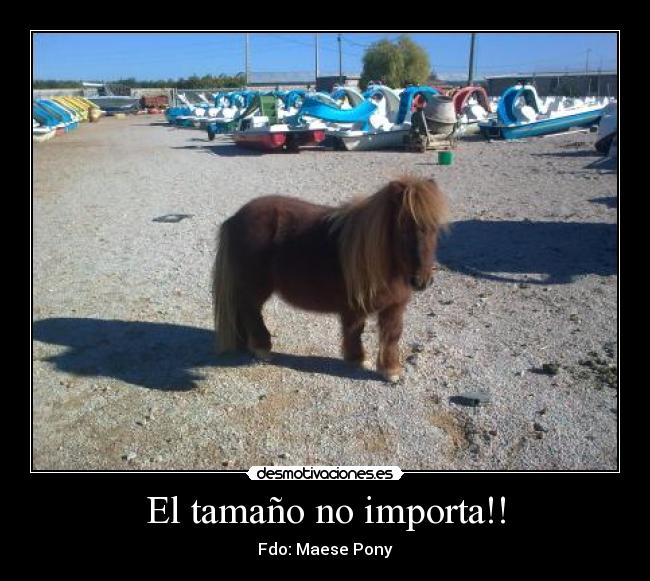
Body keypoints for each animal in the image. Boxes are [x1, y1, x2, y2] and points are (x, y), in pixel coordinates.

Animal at [211, 176, 449, 382]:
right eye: (403, 229)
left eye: (434, 227)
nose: (421, 281)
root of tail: (235, 218)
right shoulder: (354, 308)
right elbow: (355, 331)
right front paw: (358, 360)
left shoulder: (394, 306)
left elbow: (392, 336)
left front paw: (390, 370)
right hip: (255, 288)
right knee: (251, 312)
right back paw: (262, 348)